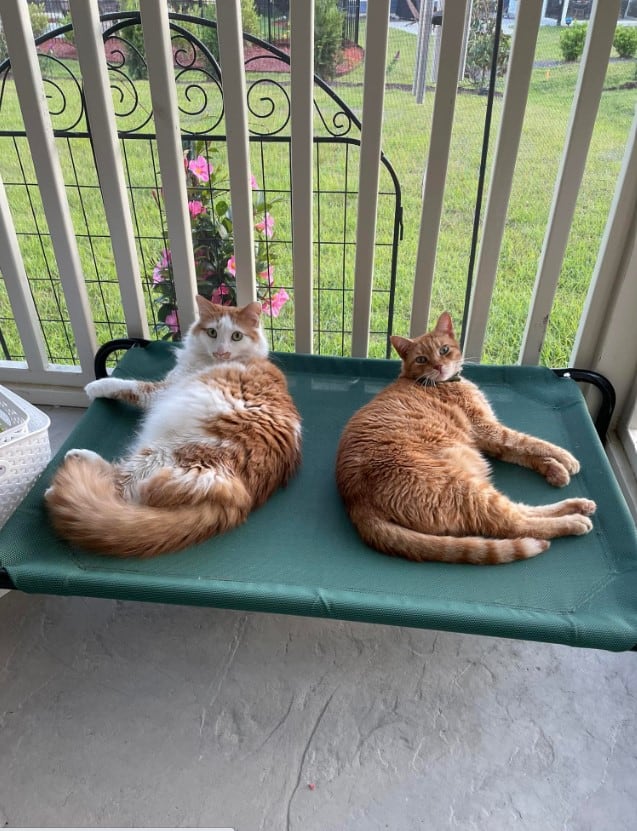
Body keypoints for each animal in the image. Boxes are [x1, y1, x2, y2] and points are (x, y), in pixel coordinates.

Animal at [47, 298, 300, 560]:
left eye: (236, 336)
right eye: (212, 332)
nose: (222, 351)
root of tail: (240, 499)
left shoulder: (162, 390)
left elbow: (130, 386)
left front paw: (95, 386)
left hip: (161, 454)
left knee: (118, 489)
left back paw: (64, 478)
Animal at [336, 312, 592, 564]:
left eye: (444, 350)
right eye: (421, 359)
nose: (439, 366)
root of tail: (357, 503)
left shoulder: (487, 439)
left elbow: (521, 452)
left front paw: (554, 469)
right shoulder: (488, 429)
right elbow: (530, 442)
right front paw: (566, 459)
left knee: (520, 510)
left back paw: (578, 505)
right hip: (467, 490)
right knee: (513, 523)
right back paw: (574, 521)